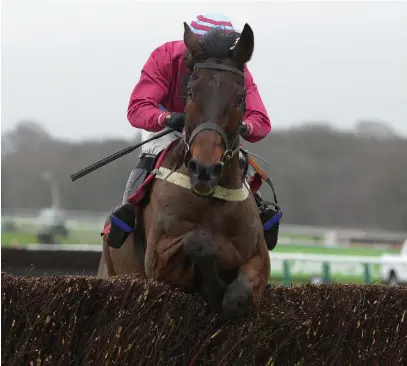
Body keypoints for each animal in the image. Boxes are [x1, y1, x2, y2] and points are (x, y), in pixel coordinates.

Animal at [97, 22, 272, 320]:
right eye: (190, 92)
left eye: (240, 97)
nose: (204, 169)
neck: (212, 199)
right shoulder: (157, 261)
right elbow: (199, 241)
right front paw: (213, 286)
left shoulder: (260, 257)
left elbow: (238, 297)